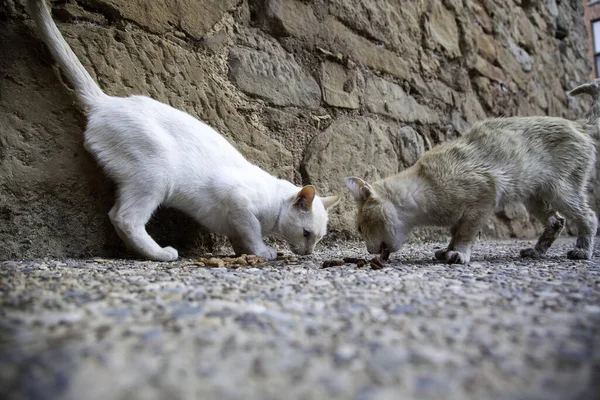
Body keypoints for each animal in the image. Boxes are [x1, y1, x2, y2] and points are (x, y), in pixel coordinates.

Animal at [27, 0, 338, 260]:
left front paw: (244, 253)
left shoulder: (233, 221)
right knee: (123, 217)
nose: (309, 253)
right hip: (156, 176)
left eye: (319, 239)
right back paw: (160, 254)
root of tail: (106, 102)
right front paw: (263, 252)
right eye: (307, 234)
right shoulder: (238, 202)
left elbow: (240, 238)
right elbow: (252, 232)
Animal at [344, 80, 596, 264]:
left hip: (560, 191)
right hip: (535, 199)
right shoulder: (459, 216)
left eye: (360, 228)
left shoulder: (483, 200)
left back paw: (582, 251)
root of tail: (579, 124)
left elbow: (465, 234)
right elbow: (454, 234)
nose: (368, 250)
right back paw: (536, 252)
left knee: (589, 217)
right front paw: (447, 251)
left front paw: (459, 254)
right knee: (556, 222)